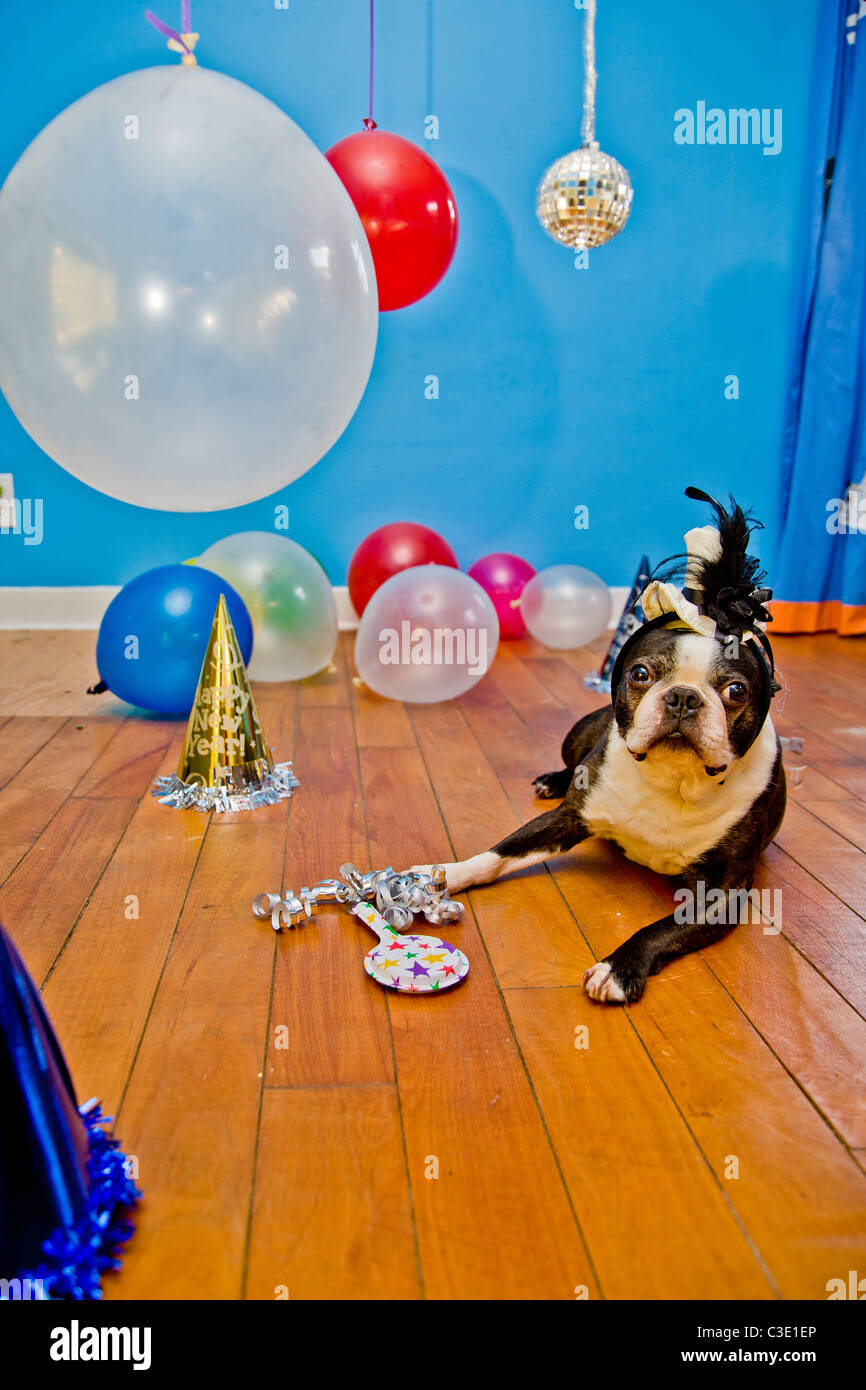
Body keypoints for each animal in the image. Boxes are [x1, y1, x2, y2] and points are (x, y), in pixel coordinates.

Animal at [414, 486, 783, 1000]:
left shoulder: (723, 891)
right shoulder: (567, 818)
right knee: (570, 762)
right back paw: (552, 779)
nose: (684, 697)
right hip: (579, 733)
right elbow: (497, 854)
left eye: (736, 691)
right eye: (641, 673)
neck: (672, 780)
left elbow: (662, 928)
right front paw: (446, 874)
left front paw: (619, 967)